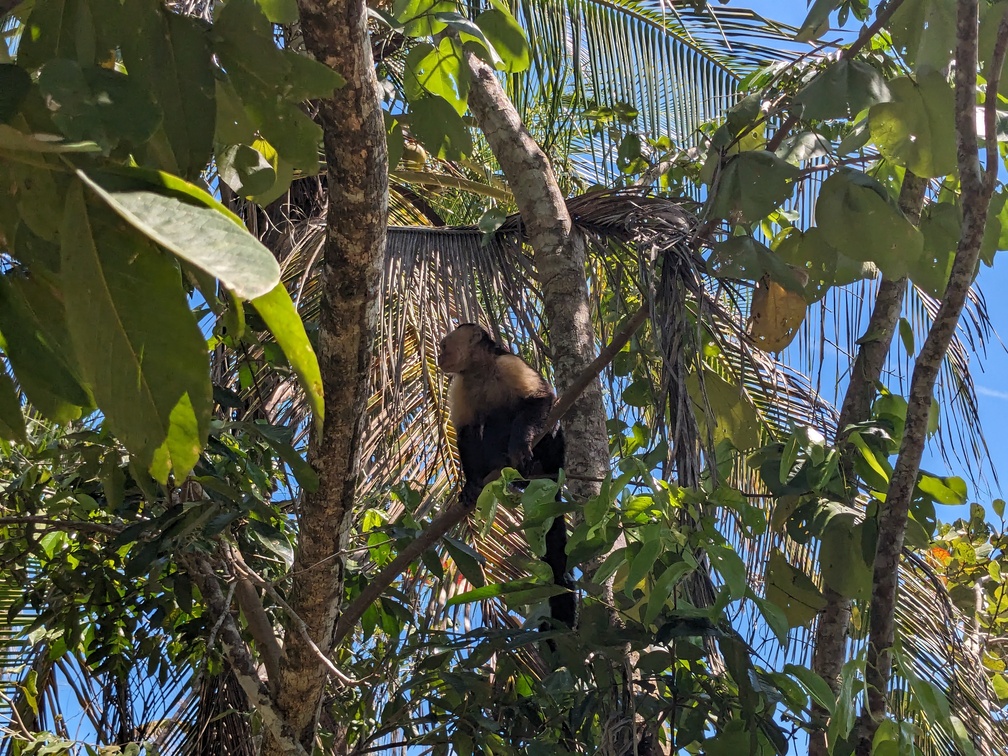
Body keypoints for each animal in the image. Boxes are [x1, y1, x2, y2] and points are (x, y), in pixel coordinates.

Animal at [439, 326, 576, 633]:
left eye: (443, 346)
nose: (440, 356)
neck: (479, 370)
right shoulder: (460, 386)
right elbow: (466, 432)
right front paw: (471, 485)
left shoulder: (509, 365)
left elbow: (540, 400)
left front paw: (520, 446)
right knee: (486, 424)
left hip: (555, 453)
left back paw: (525, 460)